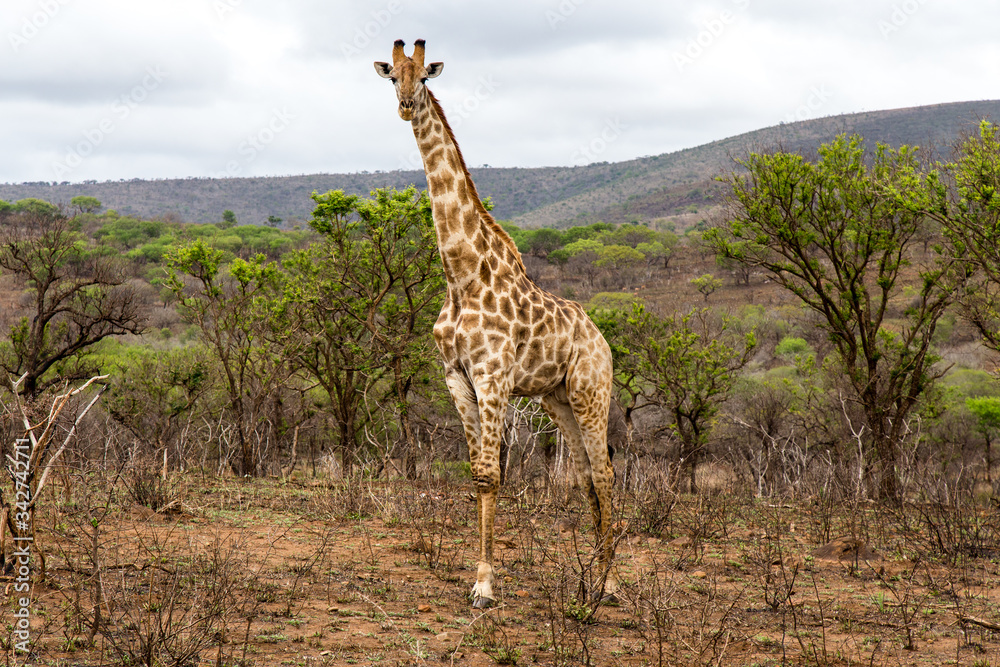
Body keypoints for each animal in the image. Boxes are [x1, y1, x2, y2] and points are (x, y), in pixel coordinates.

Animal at [375, 39, 617, 609]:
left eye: (424, 77)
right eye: (392, 75)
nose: (405, 105)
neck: (461, 274)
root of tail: (602, 340)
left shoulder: (492, 377)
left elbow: (490, 475)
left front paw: (484, 585)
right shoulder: (457, 379)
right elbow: (479, 474)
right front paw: (481, 577)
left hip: (592, 392)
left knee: (605, 472)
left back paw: (608, 585)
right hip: (557, 400)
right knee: (586, 476)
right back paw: (596, 579)